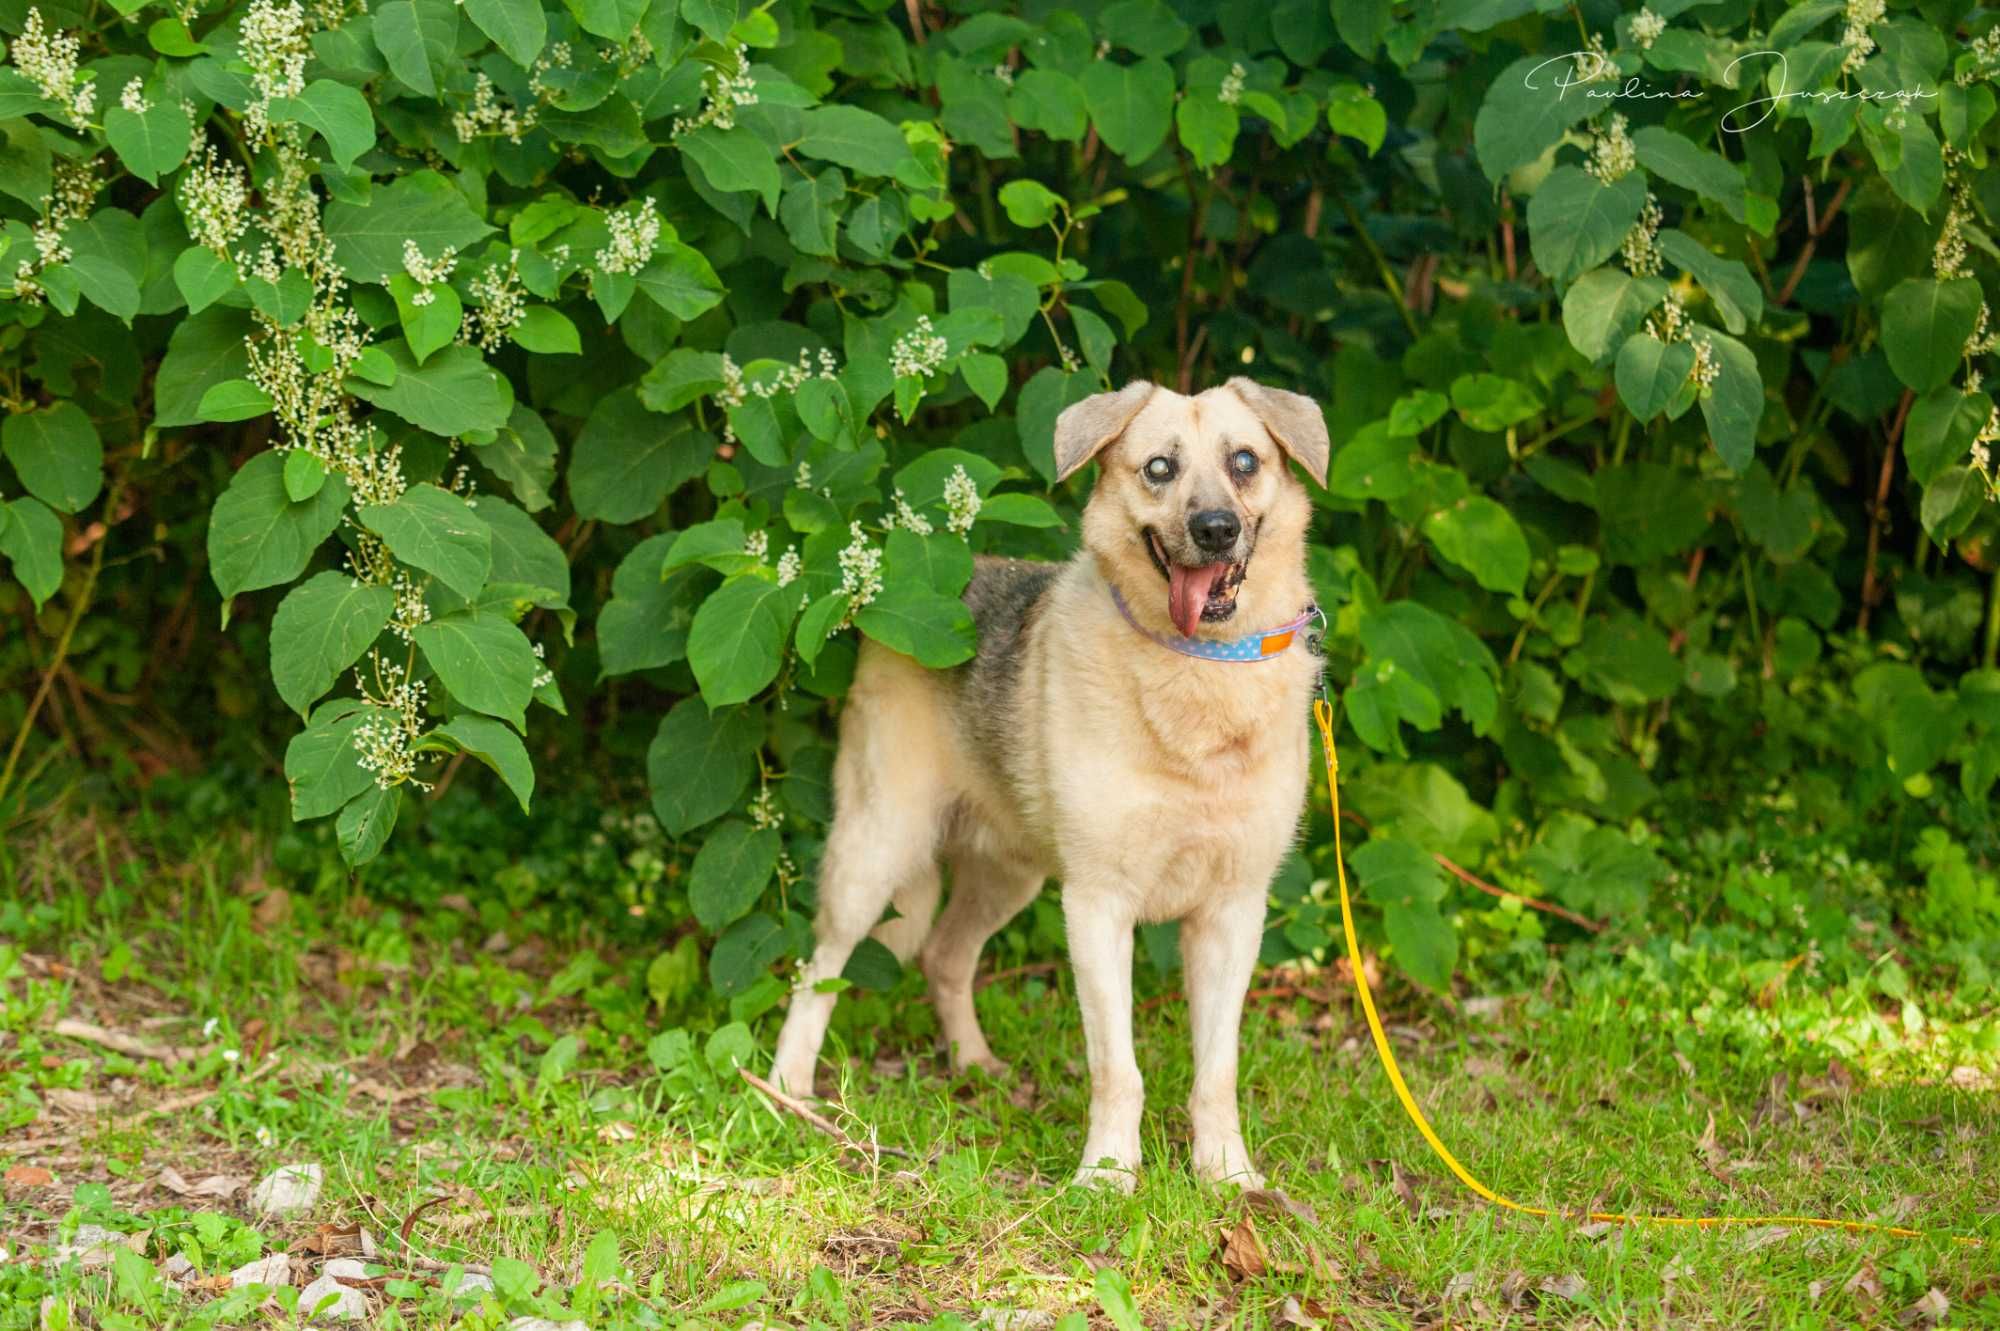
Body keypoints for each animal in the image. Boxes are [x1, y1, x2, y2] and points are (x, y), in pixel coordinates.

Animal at [772, 373, 1336, 1183]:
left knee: (946, 956)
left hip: (1008, 875)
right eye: (1159, 468)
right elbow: (1118, 1069)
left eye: (1244, 461)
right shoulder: (1098, 907)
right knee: (818, 969)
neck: (1199, 671)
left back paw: (973, 1063)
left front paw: (1226, 1173)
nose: (1216, 528)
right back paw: (788, 1085)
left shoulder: (1233, 912)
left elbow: (1217, 1070)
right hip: (875, 852)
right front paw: (1108, 1175)